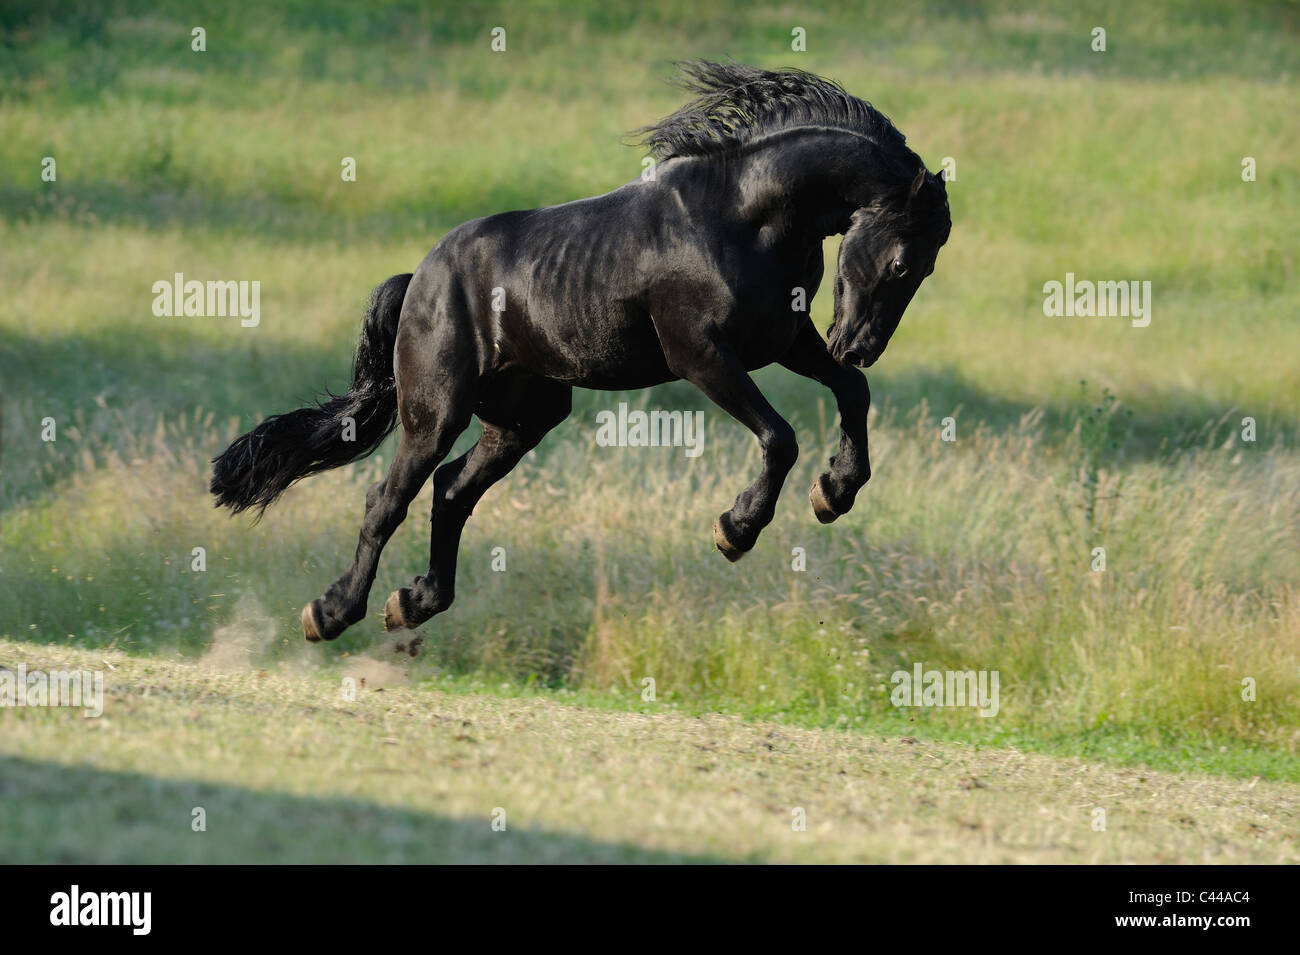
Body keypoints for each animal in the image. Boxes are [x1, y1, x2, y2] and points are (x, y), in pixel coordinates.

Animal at [208, 61, 951, 641]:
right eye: (900, 261)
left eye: (926, 269)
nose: (860, 345)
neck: (745, 216)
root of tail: (418, 276)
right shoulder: (702, 355)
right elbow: (781, 437)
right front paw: (735, 528)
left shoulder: (784, 341)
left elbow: (850, 395)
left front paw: (835, 493)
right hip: (436, 411)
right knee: (386, 499)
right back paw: (331, 612)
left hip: (523, 418)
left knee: (450, 492)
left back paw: (412, 603)